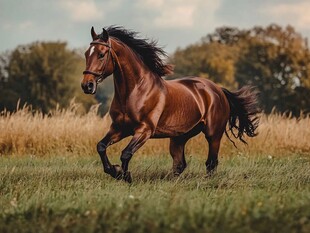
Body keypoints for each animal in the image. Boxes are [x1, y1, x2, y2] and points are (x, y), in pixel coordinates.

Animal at [80, 25, 260, 182]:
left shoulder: (144, 130)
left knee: (211, 163)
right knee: (180, 164)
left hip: (213, 134)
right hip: (179, 137)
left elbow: (126, 153)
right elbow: (101, 146)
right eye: (86, 54)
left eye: (101, 54)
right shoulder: (119, 128)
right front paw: (114, 171)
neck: (134, 91)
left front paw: (124, 175)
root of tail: (218, 90)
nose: (87, 85)